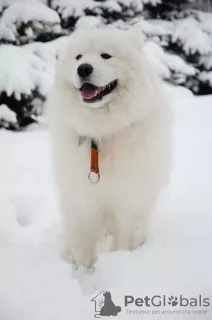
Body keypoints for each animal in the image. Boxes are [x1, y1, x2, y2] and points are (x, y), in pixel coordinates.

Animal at [47, 25, 172, 268]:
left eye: (106, 56)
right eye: (78, 57)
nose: (83, 69)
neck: (102, 133)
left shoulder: (128, 203)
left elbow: (124, 241)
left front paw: (120, 263)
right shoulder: (83, 202)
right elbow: (82, 248)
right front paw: (82, 272)